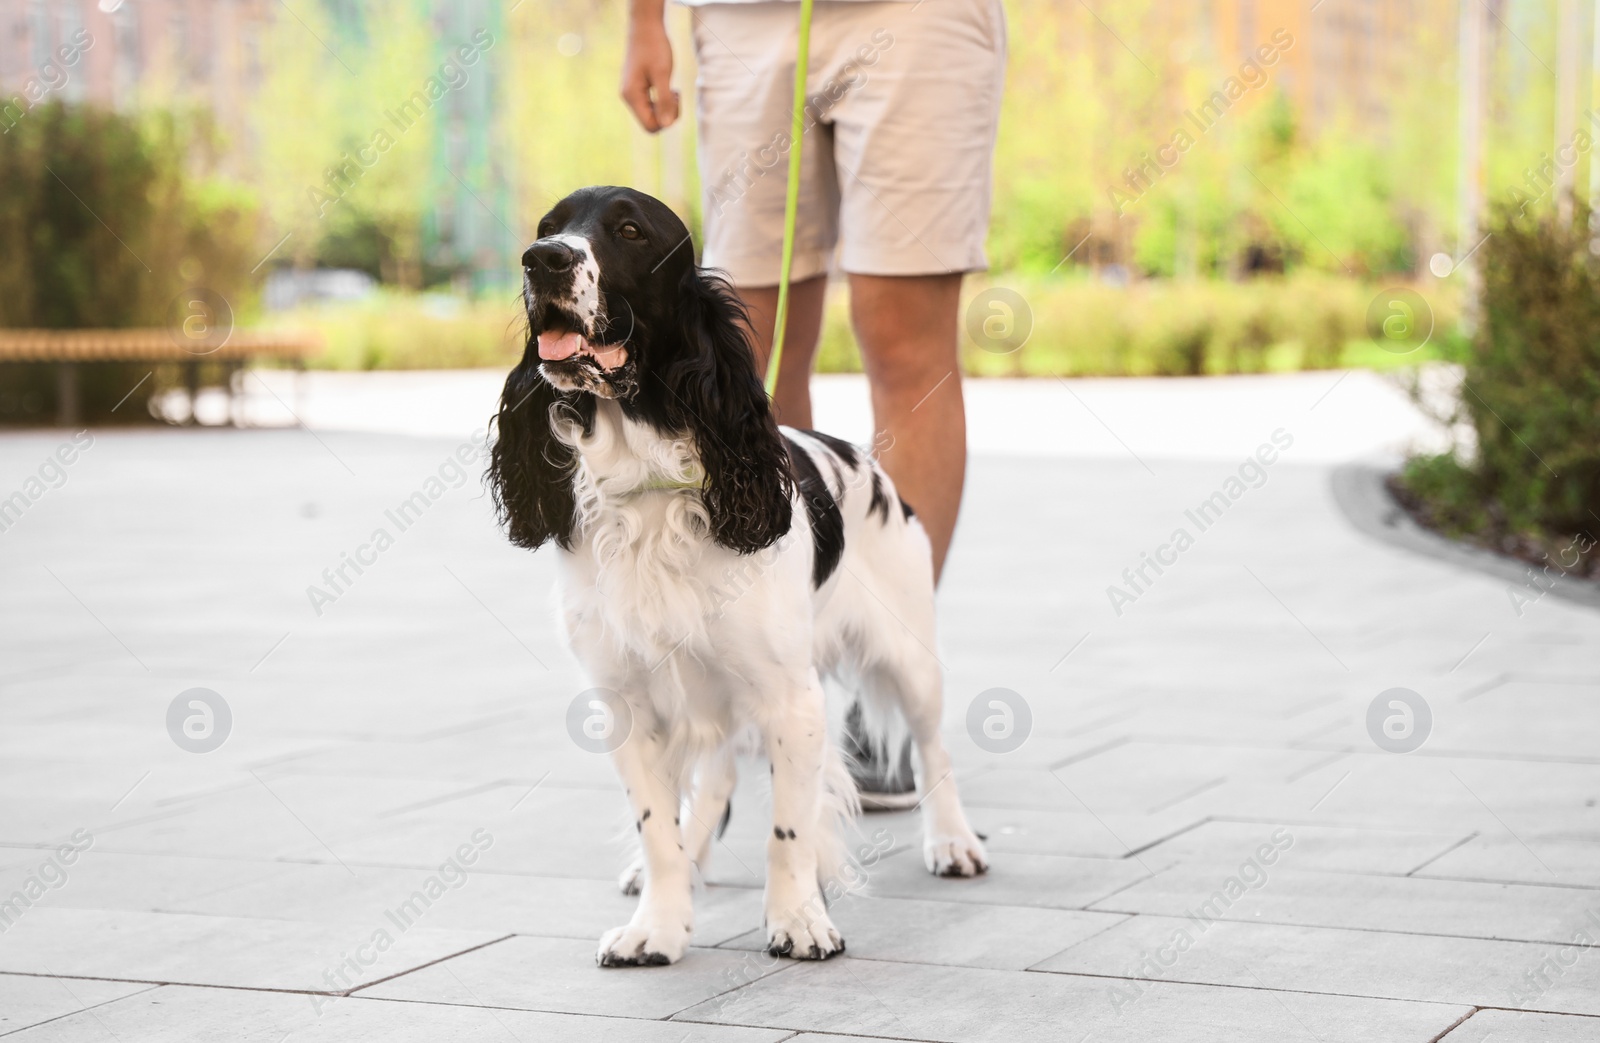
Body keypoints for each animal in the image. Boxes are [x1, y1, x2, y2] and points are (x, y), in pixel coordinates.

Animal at [486, 187, 985, 972]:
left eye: (630, 230)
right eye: (546, 227)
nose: (544, 260)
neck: (649, 483)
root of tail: (869, 465)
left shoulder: (790, 699)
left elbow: (789, 831)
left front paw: (799, 921)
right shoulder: (628, 701)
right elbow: (656, 825)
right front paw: (658, 926)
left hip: (909, 657)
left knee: (933, 747)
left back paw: (953, 841)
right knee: (715, 774)